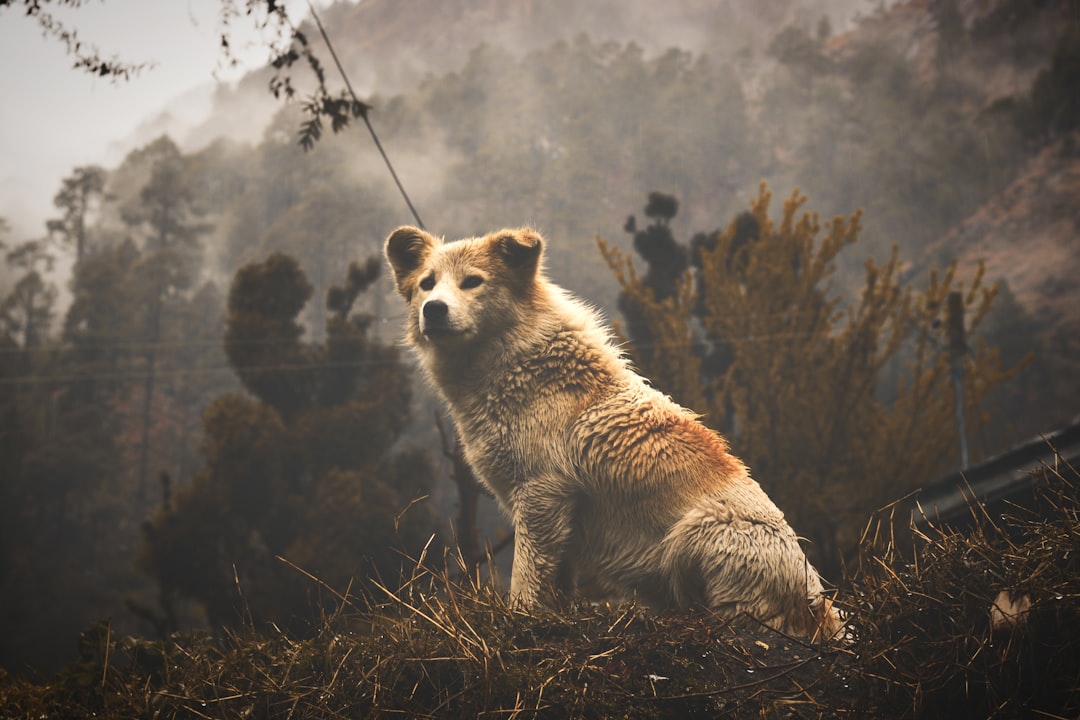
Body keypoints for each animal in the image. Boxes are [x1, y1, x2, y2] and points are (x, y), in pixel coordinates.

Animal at [388, 226, 842, 643]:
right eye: (427, 283)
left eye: (472, 282)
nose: (434, 309)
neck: (518, 365)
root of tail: (821, 608)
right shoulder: (557, 515)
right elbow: (555, 584)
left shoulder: (540, 494)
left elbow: (526, 578)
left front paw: (518, 621)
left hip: (698, 532)